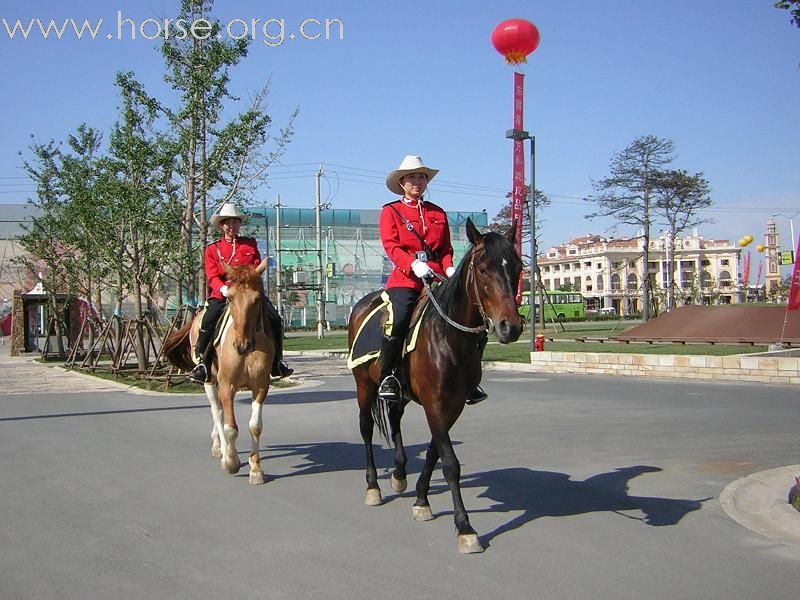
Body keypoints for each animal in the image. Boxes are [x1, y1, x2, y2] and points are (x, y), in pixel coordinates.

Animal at [162, 262, 276, 482]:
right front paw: (231, 461)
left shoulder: (261, 386)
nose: (241, 345)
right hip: (210, 381)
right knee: (217, 411)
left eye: (257, 299)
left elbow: (255, 426)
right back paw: (221, 449)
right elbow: (230, 428)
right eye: (230, 298)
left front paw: (255, 469)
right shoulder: (227, 385)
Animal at [346, 217, 520, 552]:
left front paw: (421, 500)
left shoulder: (452, 405)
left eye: (517, 267)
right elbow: (450, 462)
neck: (450, 337)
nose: (511, 327)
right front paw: (465, 527)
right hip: (364, 386)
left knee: (395, 418)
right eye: (483, 270)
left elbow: (433, 453)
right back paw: (373, 486)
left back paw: (399, 472)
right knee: (366, 428)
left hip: (398, 392)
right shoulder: (435, 403)